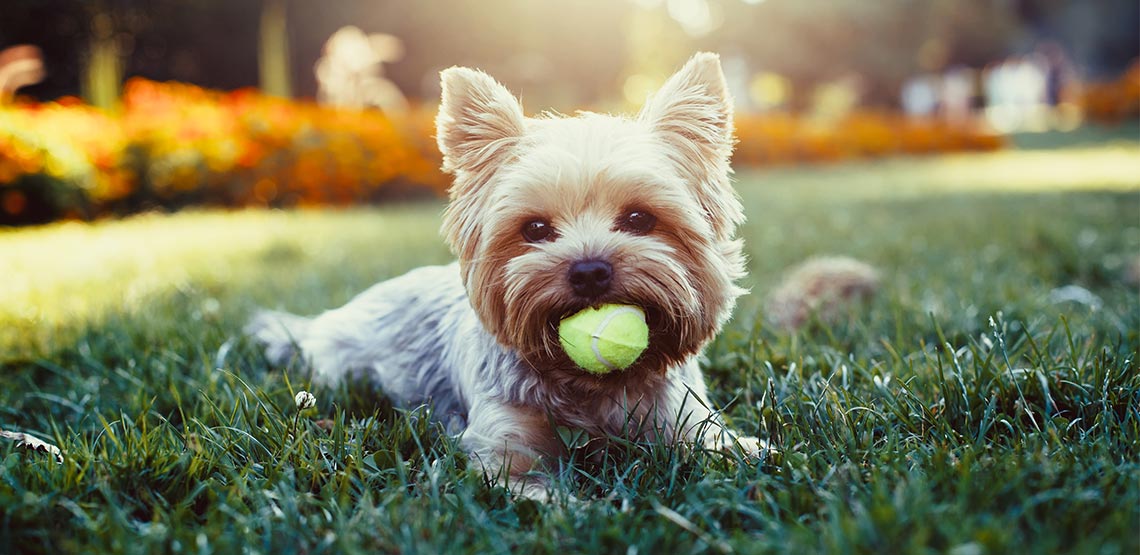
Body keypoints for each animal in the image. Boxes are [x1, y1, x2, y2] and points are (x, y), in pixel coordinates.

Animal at [249, 52, 766, 501]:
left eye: (640, 219)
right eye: (534, 229)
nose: (590, 269)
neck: (590, 386)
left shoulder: (684, 419)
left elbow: (731, 449)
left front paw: (754, 453)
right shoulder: (504, 448)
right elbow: (534, 490)